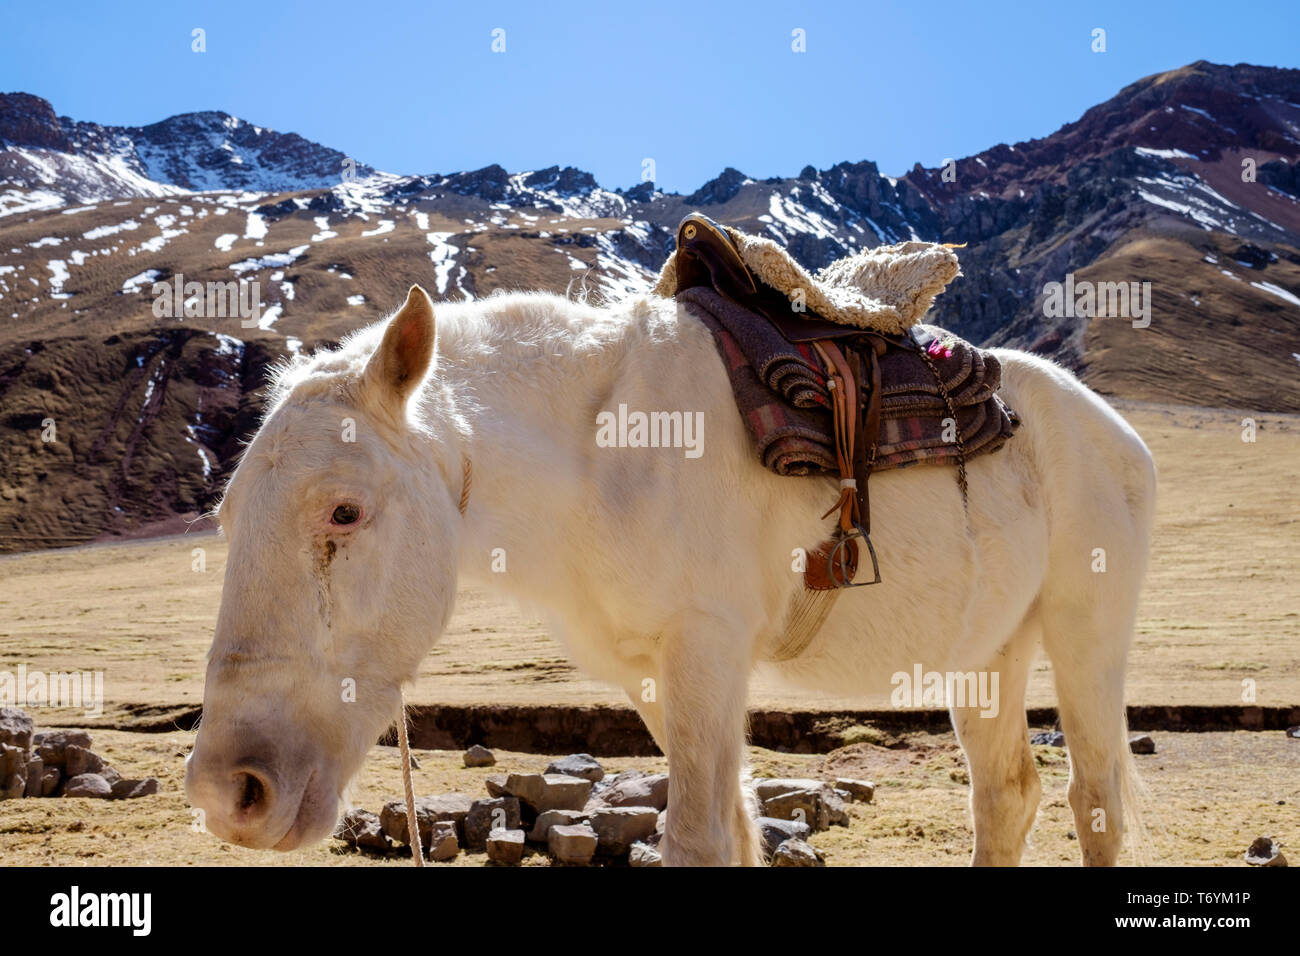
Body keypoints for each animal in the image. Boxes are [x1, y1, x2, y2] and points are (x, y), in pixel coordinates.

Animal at [185, 283, 1159, 868]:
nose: (231, 794)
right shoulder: (652, 677)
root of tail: (1116, 432)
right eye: (226, 521)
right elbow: (732, 832)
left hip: (1087, 636)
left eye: (344, 513)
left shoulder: (706, 654)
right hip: (987, 654)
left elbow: (696, 839)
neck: (595, 460)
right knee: (1007, 798)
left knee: (1094, 798)